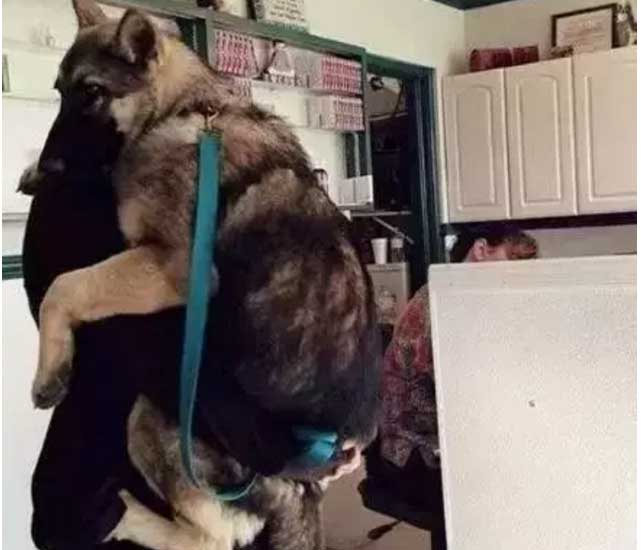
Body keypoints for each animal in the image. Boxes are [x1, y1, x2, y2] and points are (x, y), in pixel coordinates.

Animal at [28, 1, 381, 549]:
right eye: (60, 92)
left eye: (92, 92)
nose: (48, 169)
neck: (184, 110)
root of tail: (304, 485)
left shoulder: (170, 263)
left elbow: (65, 286)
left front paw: (50, 373)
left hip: (149, 418)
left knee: (207, 538)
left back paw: (128, 516)